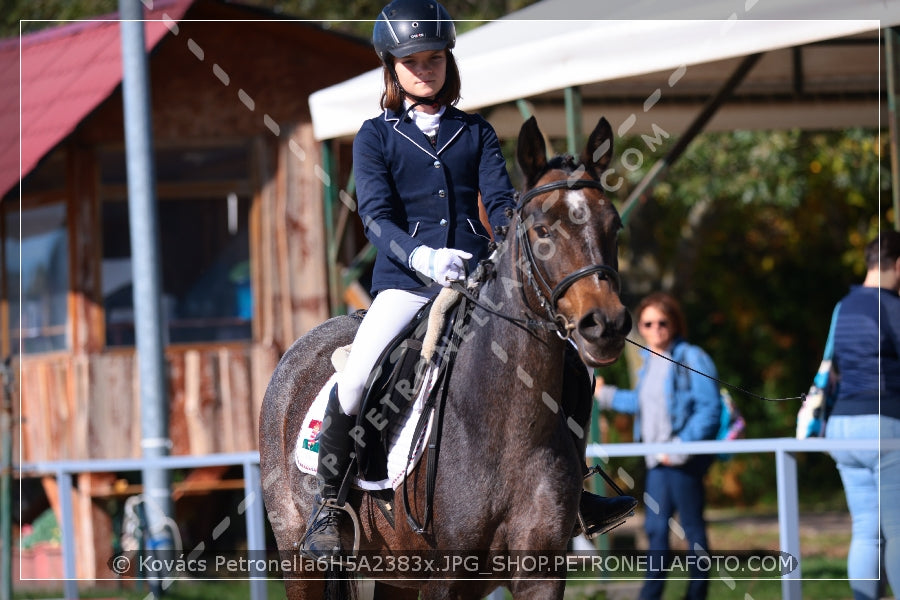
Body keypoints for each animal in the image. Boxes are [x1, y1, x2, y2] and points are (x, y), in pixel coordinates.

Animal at [256, 117, 628, 600]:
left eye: (614, 225)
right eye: (543, 229)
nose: (605, 324)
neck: (505, 421)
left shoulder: (540, 575)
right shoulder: (446, 578)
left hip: (394, 570)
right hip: (299, 560)